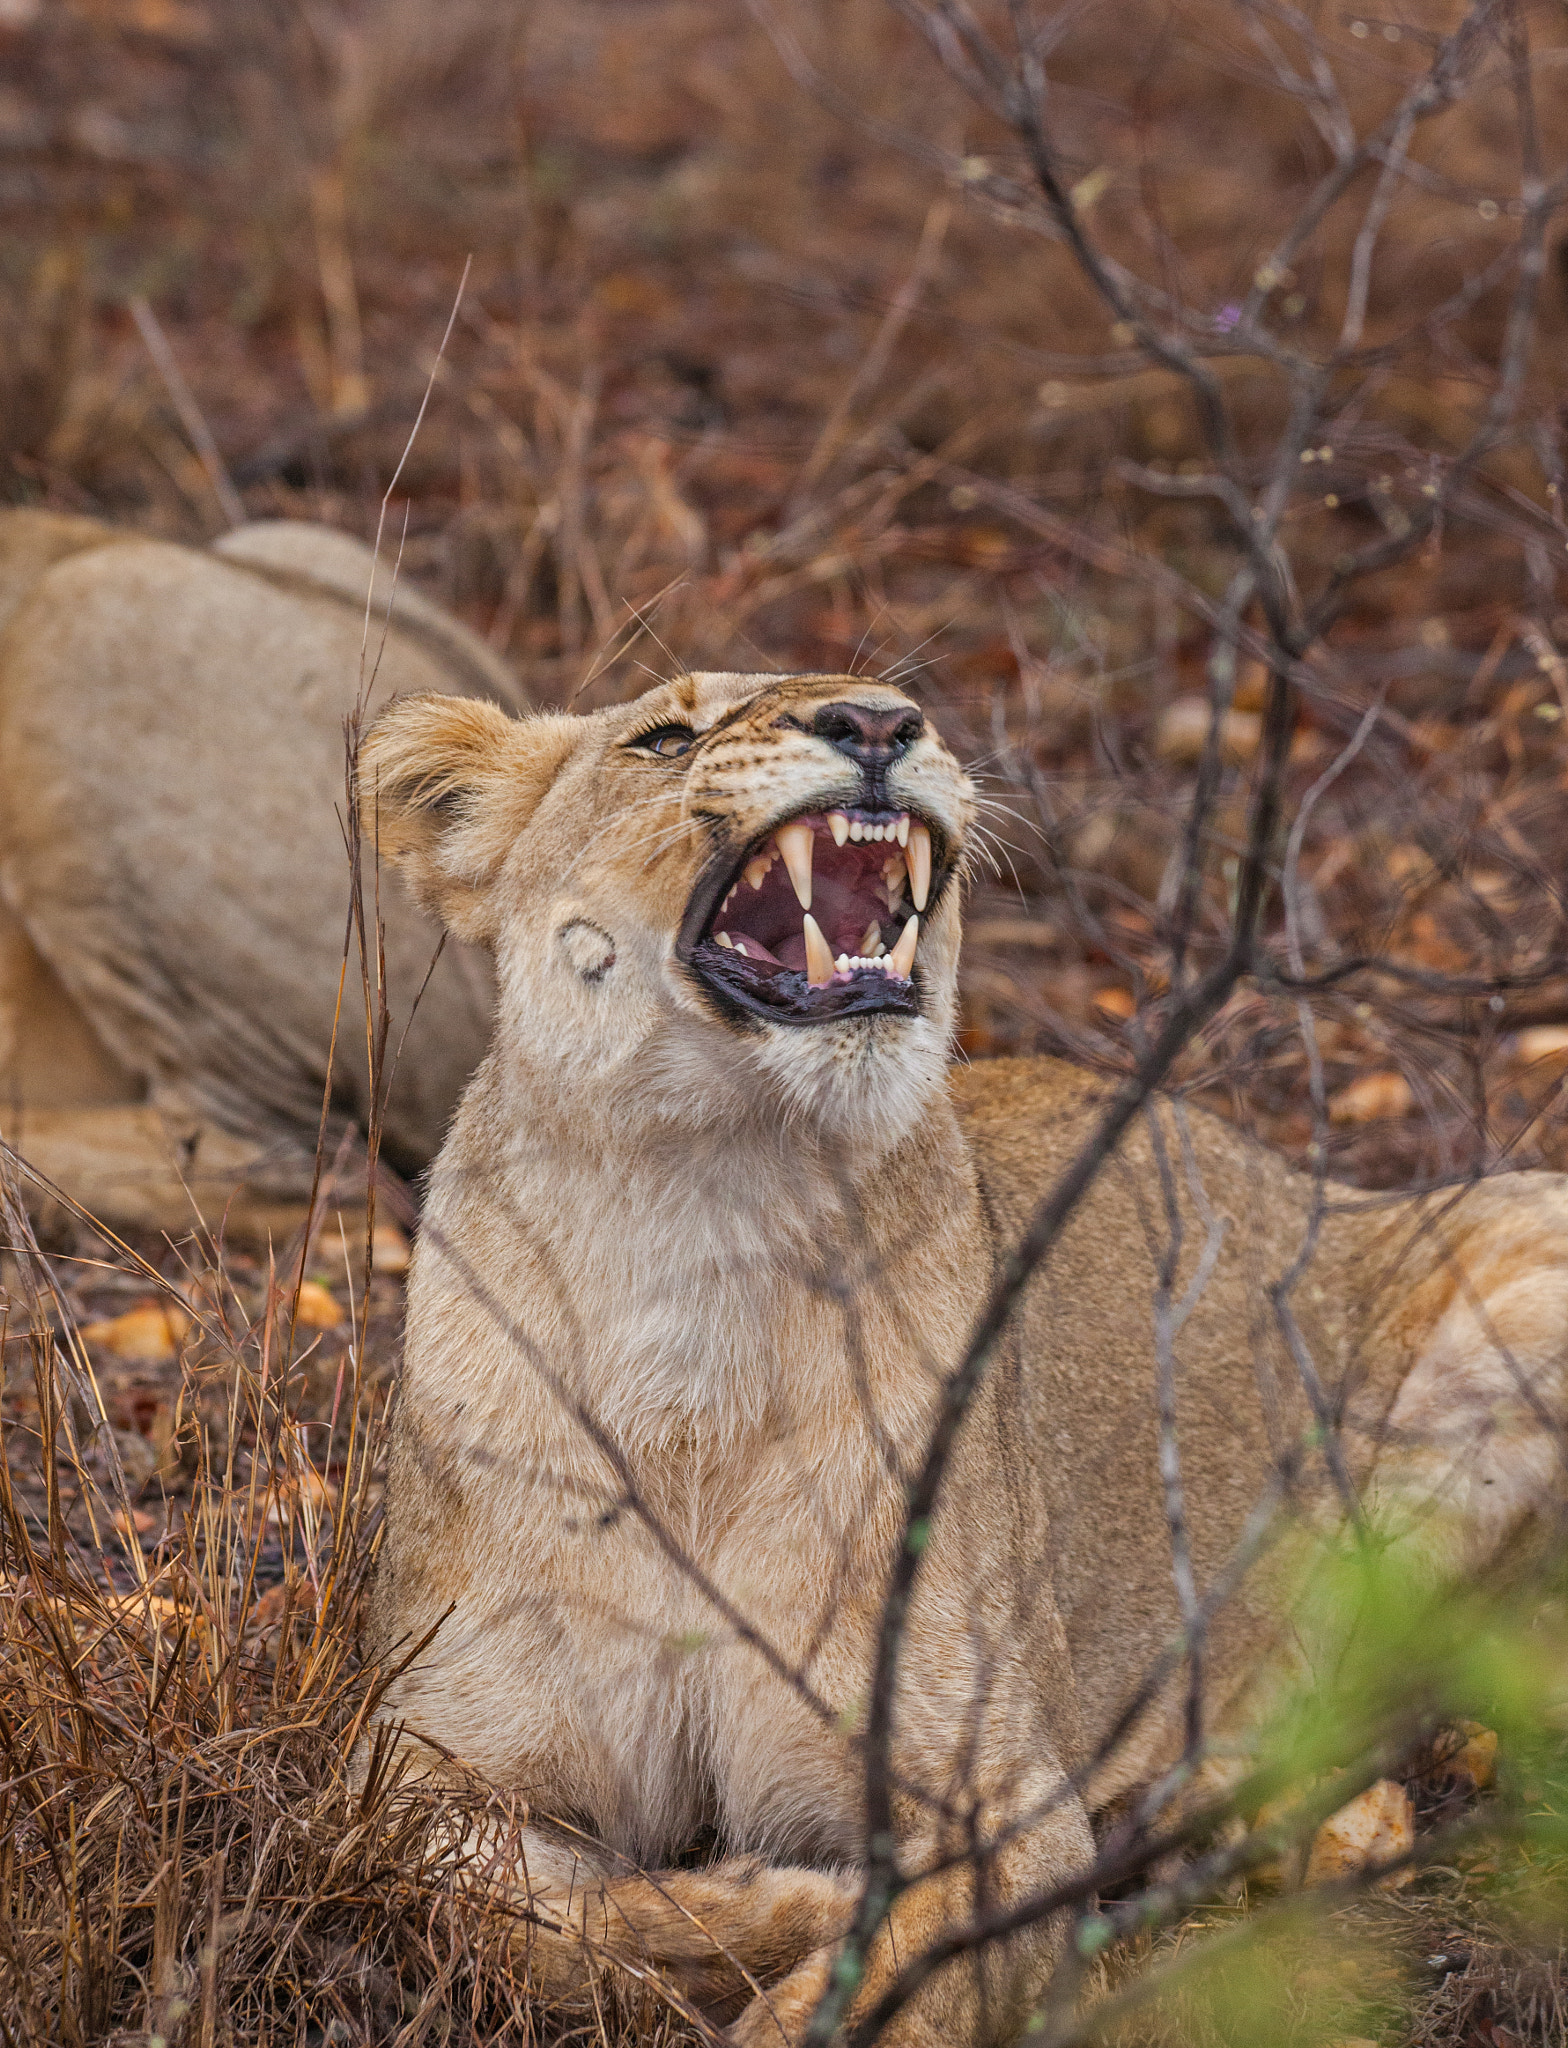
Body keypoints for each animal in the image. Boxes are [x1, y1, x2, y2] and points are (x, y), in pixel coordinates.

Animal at [359, 671, 1568, 2045]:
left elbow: (895, 1993)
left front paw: (814, 1933)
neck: (704, 1216)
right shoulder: (424, 1754)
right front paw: (780, 1901)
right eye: (662, 737)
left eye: (892, 708)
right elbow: (475, 1902)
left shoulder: (997, 1795)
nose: (881, 722)